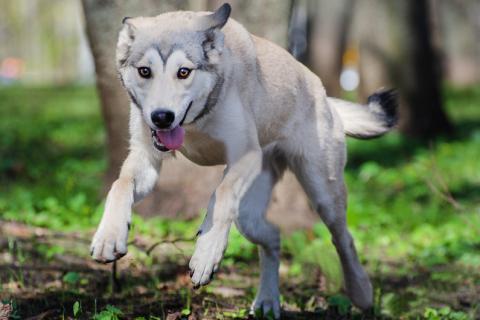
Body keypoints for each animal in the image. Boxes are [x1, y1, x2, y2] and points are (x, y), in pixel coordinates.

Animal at [90, 3, 398, 318]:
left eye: (184, 72)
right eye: (144, 71)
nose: (162, 117)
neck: (196, 123)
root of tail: (324, 95)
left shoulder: (246, 156)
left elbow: (222, 194)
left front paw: (206, 253)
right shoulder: (146, 158)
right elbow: (120, 186)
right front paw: (109, 236)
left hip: (323, 193)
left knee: (343, 239)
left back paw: (361, 293)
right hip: (249, 218)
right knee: (273, 237)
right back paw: (267, 301)